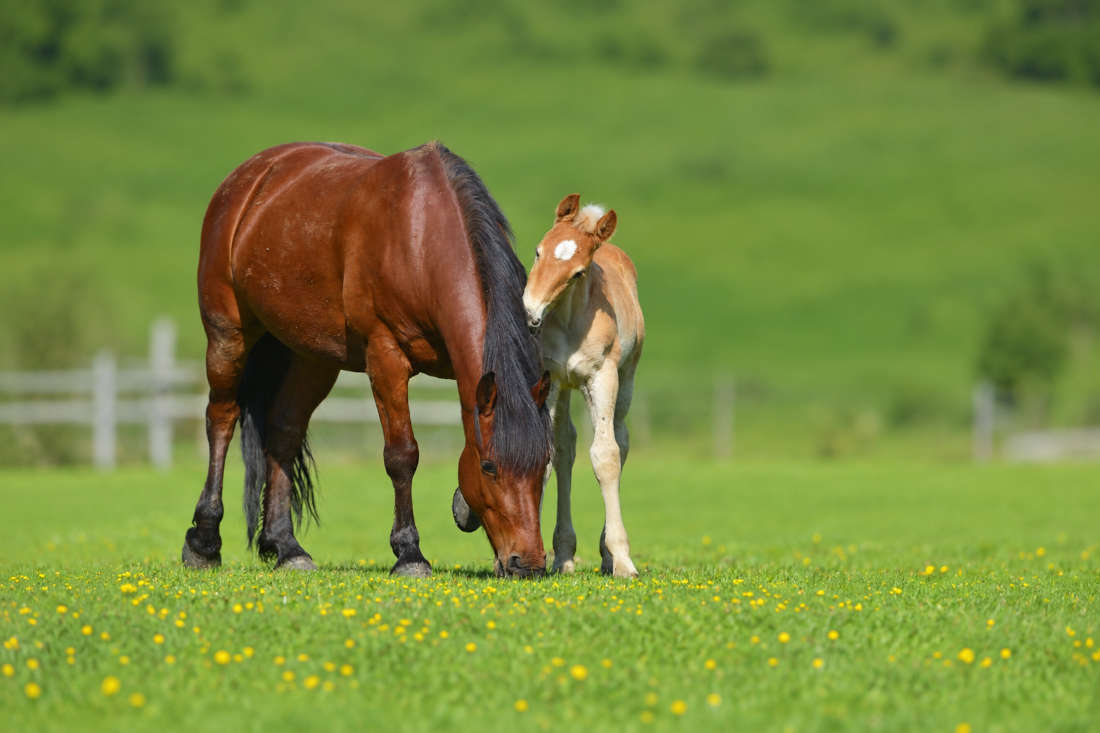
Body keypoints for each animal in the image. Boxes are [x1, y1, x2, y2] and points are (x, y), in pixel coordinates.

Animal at [182, 141, 552, 578]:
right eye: (490, 467)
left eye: (544, 463)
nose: (529, 563)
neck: (421, 238)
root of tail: (249, 178)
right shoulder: (385, 357)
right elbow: (402, 455)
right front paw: (409, 554)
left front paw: (464, 510)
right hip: (228, 334)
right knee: (221, 419)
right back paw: (204, 542)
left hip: (312, 357)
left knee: (283, 431)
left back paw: (287, 547)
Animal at [456, 194, 644, 576]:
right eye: (538, 251)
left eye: (578, 272)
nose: (529, 313)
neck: (571, 320)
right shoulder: (551, 378)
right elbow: (548, 453)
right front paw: (536, 554)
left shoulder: (602, 376)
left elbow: (606, 455)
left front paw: (622, 559)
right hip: (568, 388)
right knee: (567, 448)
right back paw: (566, 555)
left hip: (626, 379)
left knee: (620, 440)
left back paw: (605, 554)